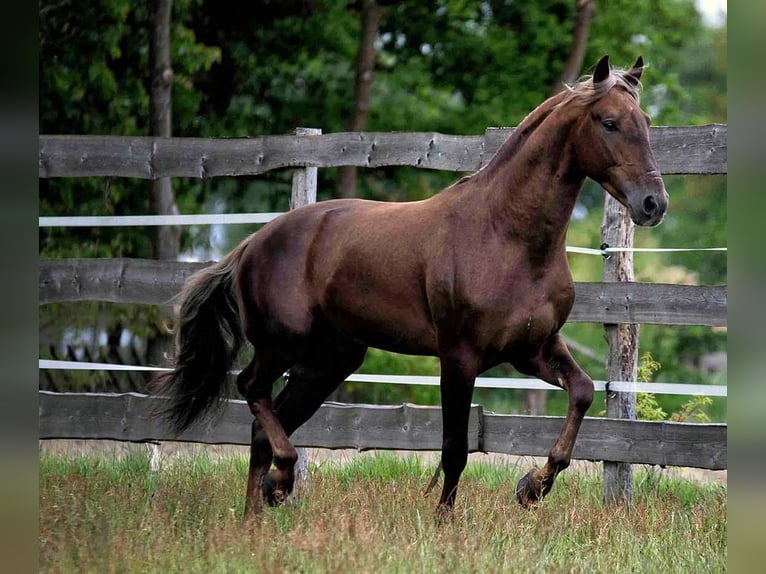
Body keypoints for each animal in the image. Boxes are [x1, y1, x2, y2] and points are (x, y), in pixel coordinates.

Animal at [153, 55, 668, 519]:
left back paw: (257, 517)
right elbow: (454, 449)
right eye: (609, 123)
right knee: (251, 391)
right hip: (283, 345)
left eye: (645, 122)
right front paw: (444, 525)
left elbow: (581, 392)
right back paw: (279, 484)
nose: (653, 204)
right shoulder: (460, 355)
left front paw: (532, 488)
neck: (506, 235)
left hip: (327, 362)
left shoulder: (532, 349)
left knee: (263, 430)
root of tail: (251, 245)